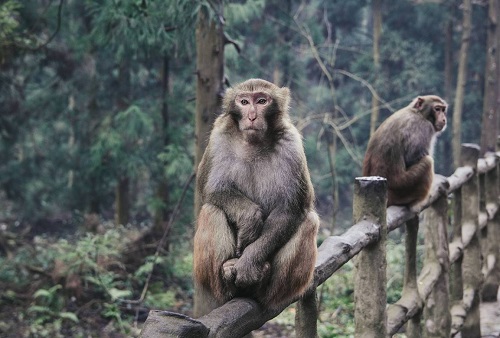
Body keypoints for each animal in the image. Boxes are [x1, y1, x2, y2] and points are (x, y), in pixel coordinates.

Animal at [193, 78, 318, 316]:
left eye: (261, 101)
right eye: (244, 102)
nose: (251, 116)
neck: (253, 142)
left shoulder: (291, 144)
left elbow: (290, 209)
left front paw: (249, 263)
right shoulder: (219, 136)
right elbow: (210, 189)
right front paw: (249, 217)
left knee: (309, 221)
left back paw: (263, 280)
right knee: (212, 210)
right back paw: (227, 277)